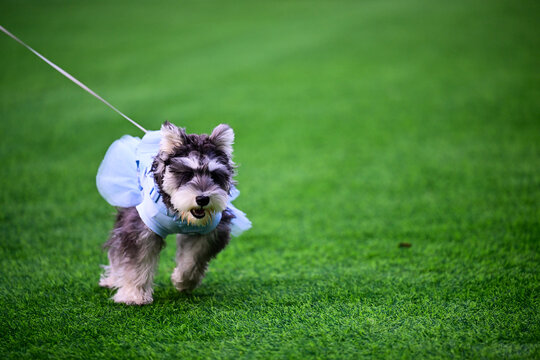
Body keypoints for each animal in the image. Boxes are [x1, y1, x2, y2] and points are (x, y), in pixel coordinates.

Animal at [95, 121, 251, 304]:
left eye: (214, 175)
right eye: (186, 174)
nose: (203, 199)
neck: (178, 213)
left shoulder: (209, 233)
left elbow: (193, 259)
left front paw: (183, 281)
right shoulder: (140, 230)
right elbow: (137, 262)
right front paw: (134, 295)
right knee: (117, 253)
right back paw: (112, 279)